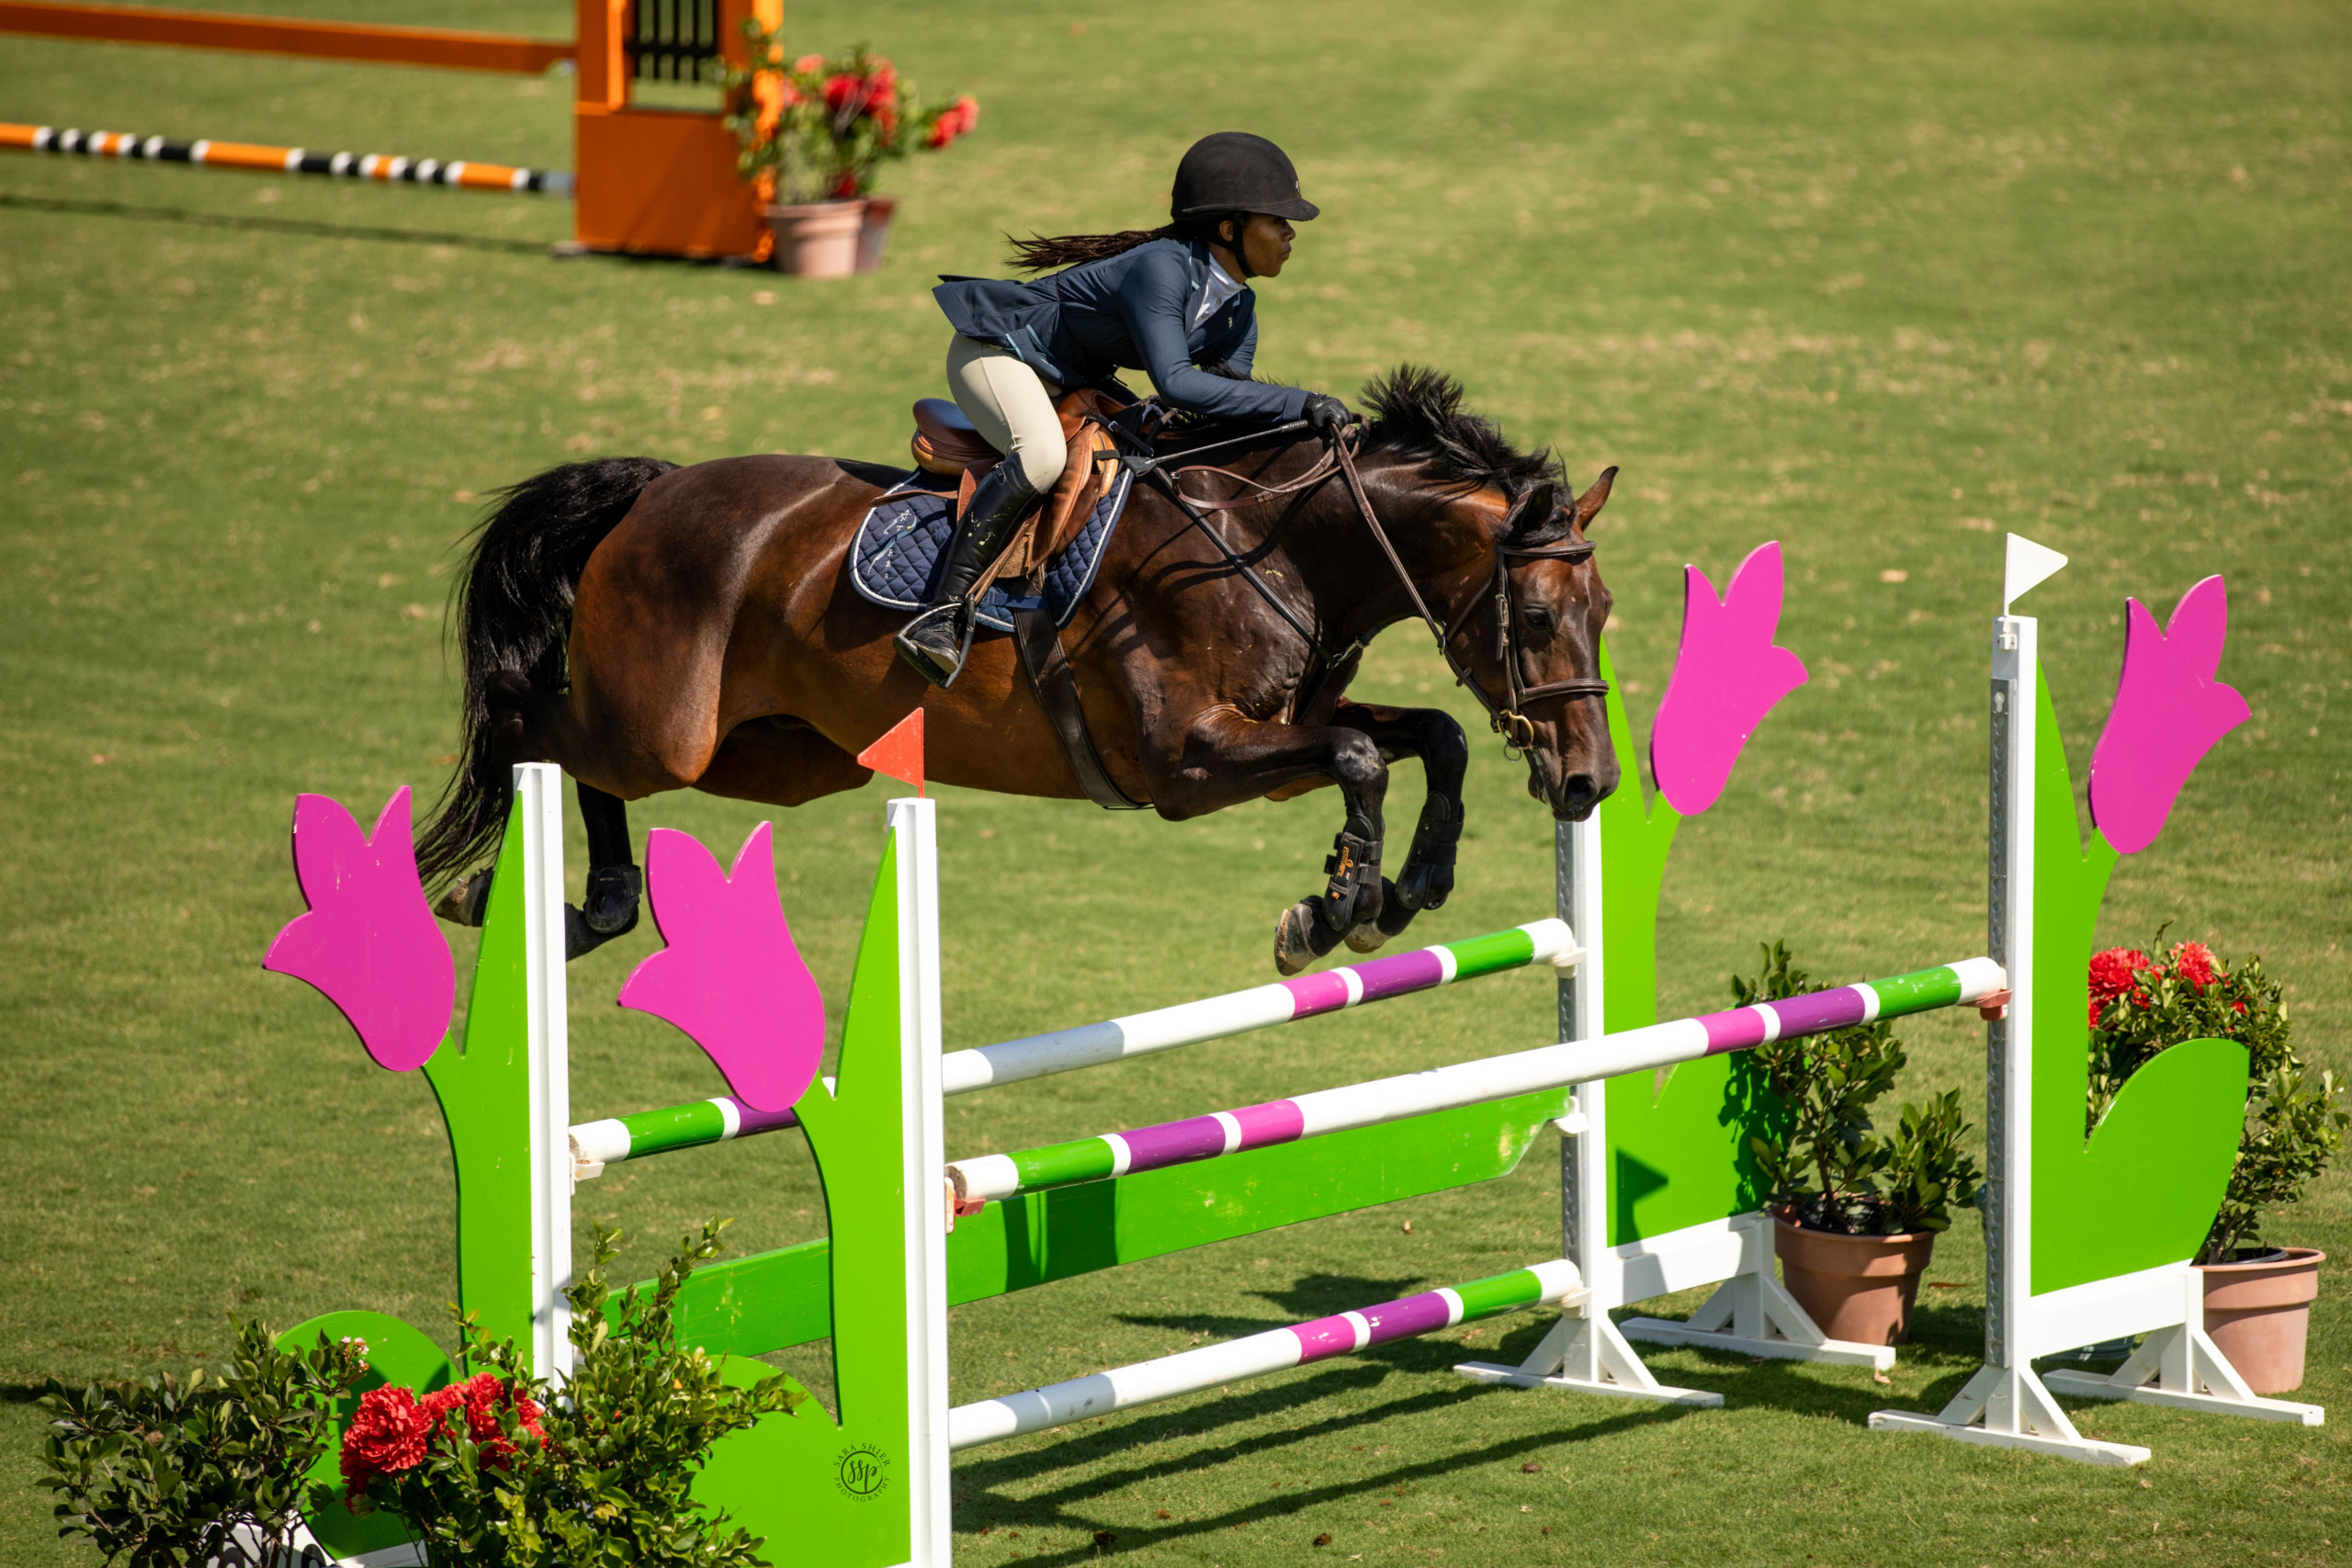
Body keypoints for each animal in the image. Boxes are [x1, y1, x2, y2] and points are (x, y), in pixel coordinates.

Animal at [415, 365, 1620, 974]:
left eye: (1602, 614)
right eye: (1534, 613)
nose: (1589, 783)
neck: (1273, 542)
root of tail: (652, 490)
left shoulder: (1278, 745)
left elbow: (1425, 738)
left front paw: (1407, 887)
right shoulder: (1186, 766)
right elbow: (1366, 755)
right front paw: (1335, 910)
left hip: (782, 757)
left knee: (588, 764)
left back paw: (595, 909)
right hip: (660, 729)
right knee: (533, 727)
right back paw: (528, 899)